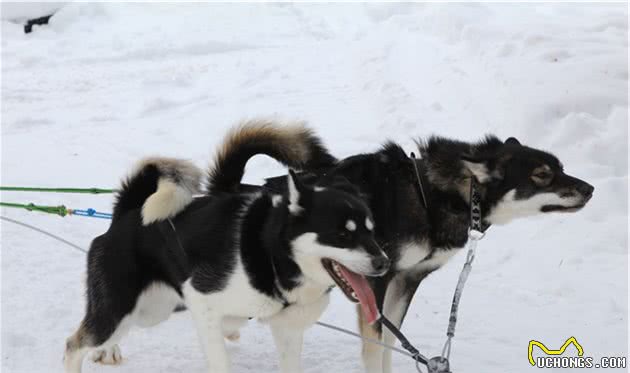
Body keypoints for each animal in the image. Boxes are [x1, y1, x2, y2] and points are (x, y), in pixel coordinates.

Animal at [64, 120, 390, 370]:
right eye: (343, 235)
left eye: (372, 231)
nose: (383, 263)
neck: (273, 255)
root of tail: (127, 214)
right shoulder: (202, 302)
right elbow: (219, 361)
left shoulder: (287, 329)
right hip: (121, 308)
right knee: (74, 345)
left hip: (150, 311)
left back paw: (107, 351)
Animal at [260, 134, 592, 372]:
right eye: (542, 174)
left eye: (561, 168)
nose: (590, 189)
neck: (429, 197)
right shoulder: (375, 282)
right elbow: (375, 346)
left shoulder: (407, 280)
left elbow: (391, 339)